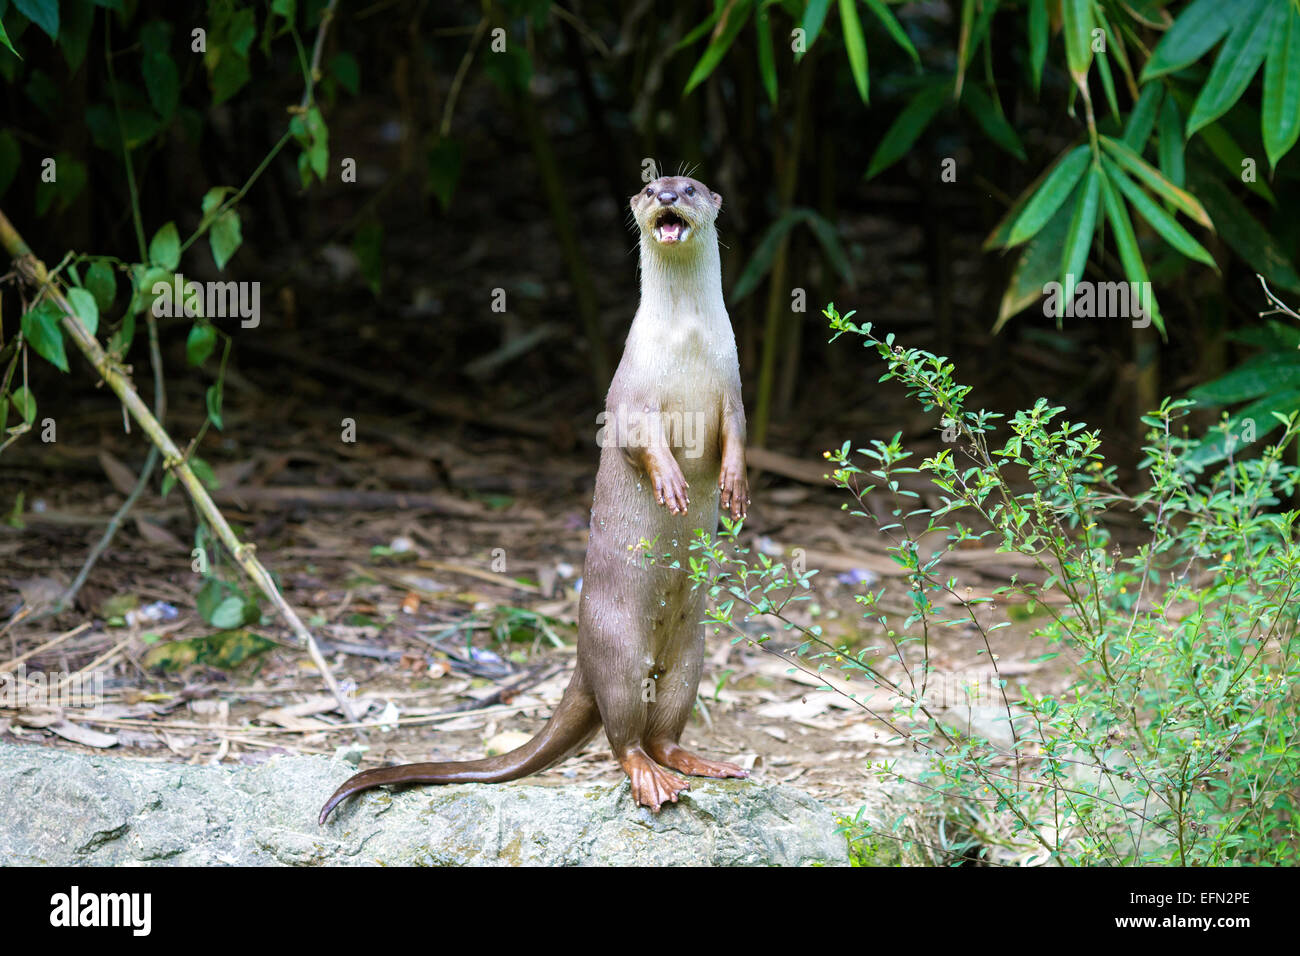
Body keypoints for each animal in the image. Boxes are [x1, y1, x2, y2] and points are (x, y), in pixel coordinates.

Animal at [319, 178, 748, 822]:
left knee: (664, 731)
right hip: (619, 649)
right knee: (625, 735)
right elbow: (638, 439)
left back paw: (702, 763)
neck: (687, 344)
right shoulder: (629, 390)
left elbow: (740, 438)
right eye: (650, 187)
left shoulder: (733, 386)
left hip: (693, 657)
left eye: (690, 187)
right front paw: (671, 480)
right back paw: (650, 781)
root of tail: (582, 660)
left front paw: (736, 486)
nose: (667, 194)